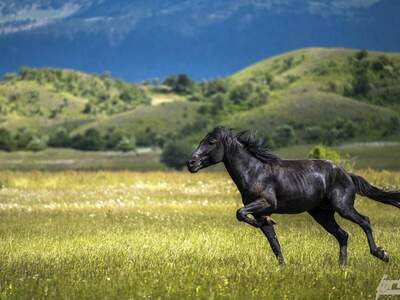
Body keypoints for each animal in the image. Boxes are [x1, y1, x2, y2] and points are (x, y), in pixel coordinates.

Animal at [188, 126, 400, 264]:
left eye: (211, 141)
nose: (191, 163)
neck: (254, 171)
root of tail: (347, 174)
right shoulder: (259, 211)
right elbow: (273, 242)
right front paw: (282, 267)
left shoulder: (266, 203)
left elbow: (240, 213)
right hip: (322, 214)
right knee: (343, 235)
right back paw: (342, 267)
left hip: (343, 207)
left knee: (365, 221)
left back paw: (382, 254)